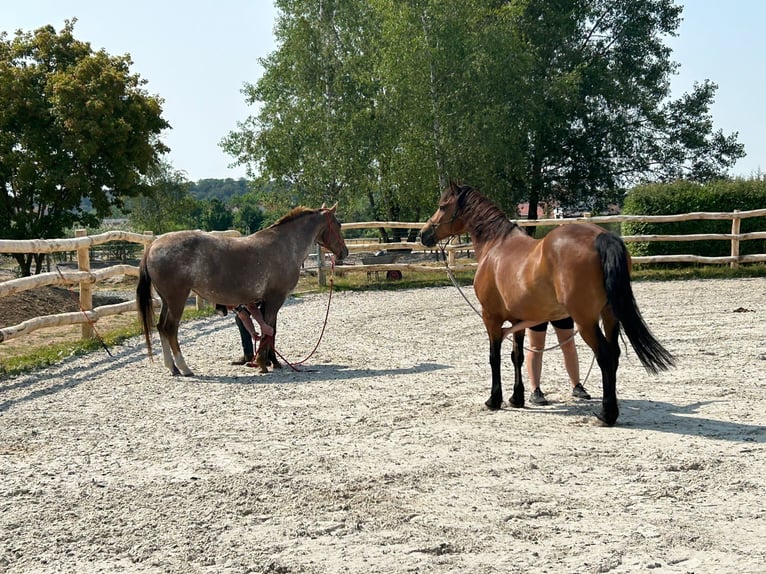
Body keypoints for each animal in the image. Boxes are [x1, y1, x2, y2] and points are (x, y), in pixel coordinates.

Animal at [139, 205, 352, 376]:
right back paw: (184, 368)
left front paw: (273, 362)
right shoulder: (275, 299)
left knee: (161, 327)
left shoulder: (269, 301)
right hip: (177, 299)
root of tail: (153, 245)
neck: (285, 245)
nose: (345, 252)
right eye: (339, 224)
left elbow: (271, 331)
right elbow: (267, 330)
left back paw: (172, 367)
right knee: (170, 328)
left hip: (166, 300)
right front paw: (262, 364)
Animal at [420, 182, 680, 426]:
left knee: (605, 356)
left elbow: (494, 358)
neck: (496, 246)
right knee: (614, 354)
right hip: (610, 316)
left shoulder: (491, 317)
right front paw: (517, 398)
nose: (424, 234)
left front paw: (494, 400)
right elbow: (518, 357)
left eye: (442, 205)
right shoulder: (518, 320)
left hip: (585, 321)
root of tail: (601, 236)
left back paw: (606, 415)